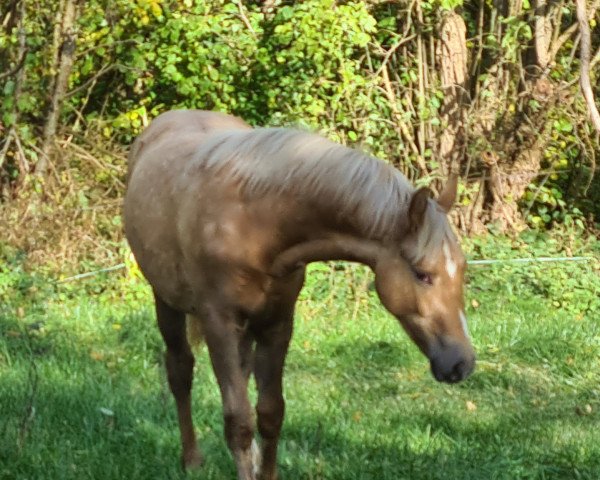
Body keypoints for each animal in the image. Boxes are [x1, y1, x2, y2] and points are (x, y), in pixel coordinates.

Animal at [124, 109, 476, 480]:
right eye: (422, 274)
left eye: (462, 268)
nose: (462, 363)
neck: (255, 225)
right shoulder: (219, 324)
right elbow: (238, 422)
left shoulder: (277, 323)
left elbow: (270, 413)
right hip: (167, 302)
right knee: (180, 371)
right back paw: (191, 459)